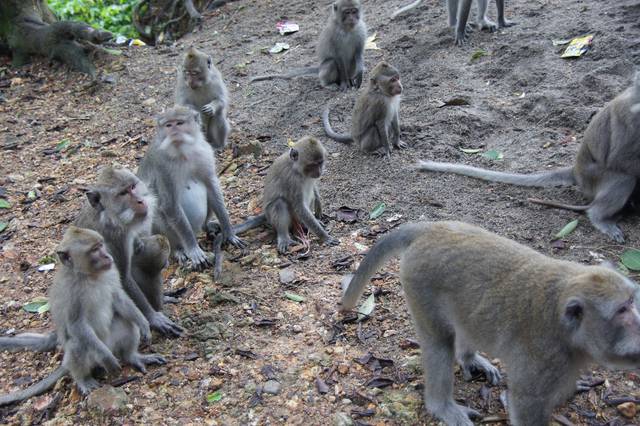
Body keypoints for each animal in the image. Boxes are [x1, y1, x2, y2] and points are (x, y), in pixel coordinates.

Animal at [0, 226, 165, 406]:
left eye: (101, 245)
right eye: (94, 250)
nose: (107, 256)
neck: (89, 275)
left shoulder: (111, 272)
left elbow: (119, 299)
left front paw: (144, 324)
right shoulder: (72, 292)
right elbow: (76, 324)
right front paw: (107, 359)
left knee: (126, 322)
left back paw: (132, 356)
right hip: (90, 353)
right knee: (78, 343)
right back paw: (83, 378)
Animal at [75, 166, 185, 336]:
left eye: (132, 187)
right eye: (123, 193)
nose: (140, 200)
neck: (109, 216)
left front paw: (137, 242)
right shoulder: (115, 238)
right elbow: (123, 279)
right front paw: (153, 318)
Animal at [138, 106, 245, 272]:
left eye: (179, 123)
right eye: (168, 125)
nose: (174, 132)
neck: (182, 152)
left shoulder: (205, 151)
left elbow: (211, 186)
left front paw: (229, 231)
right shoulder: (161, 165)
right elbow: (169, 204)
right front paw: (193, 249)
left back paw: (207, 226)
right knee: (154, 207)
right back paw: (178, 249)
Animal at [342, 221, 640, 424]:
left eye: (631, 301)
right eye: (622, 310)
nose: (638, 324)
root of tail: (430, 228)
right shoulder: (545, 360)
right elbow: (525, 404)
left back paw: (469, 357)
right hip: (420, 282)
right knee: (439, 342)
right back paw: (441, 406)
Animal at [416, 71, 640, 241]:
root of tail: (576, 170)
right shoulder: (629, 118)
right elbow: (618, 159)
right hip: (595, 176)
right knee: (623, 177)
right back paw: (600, 217)